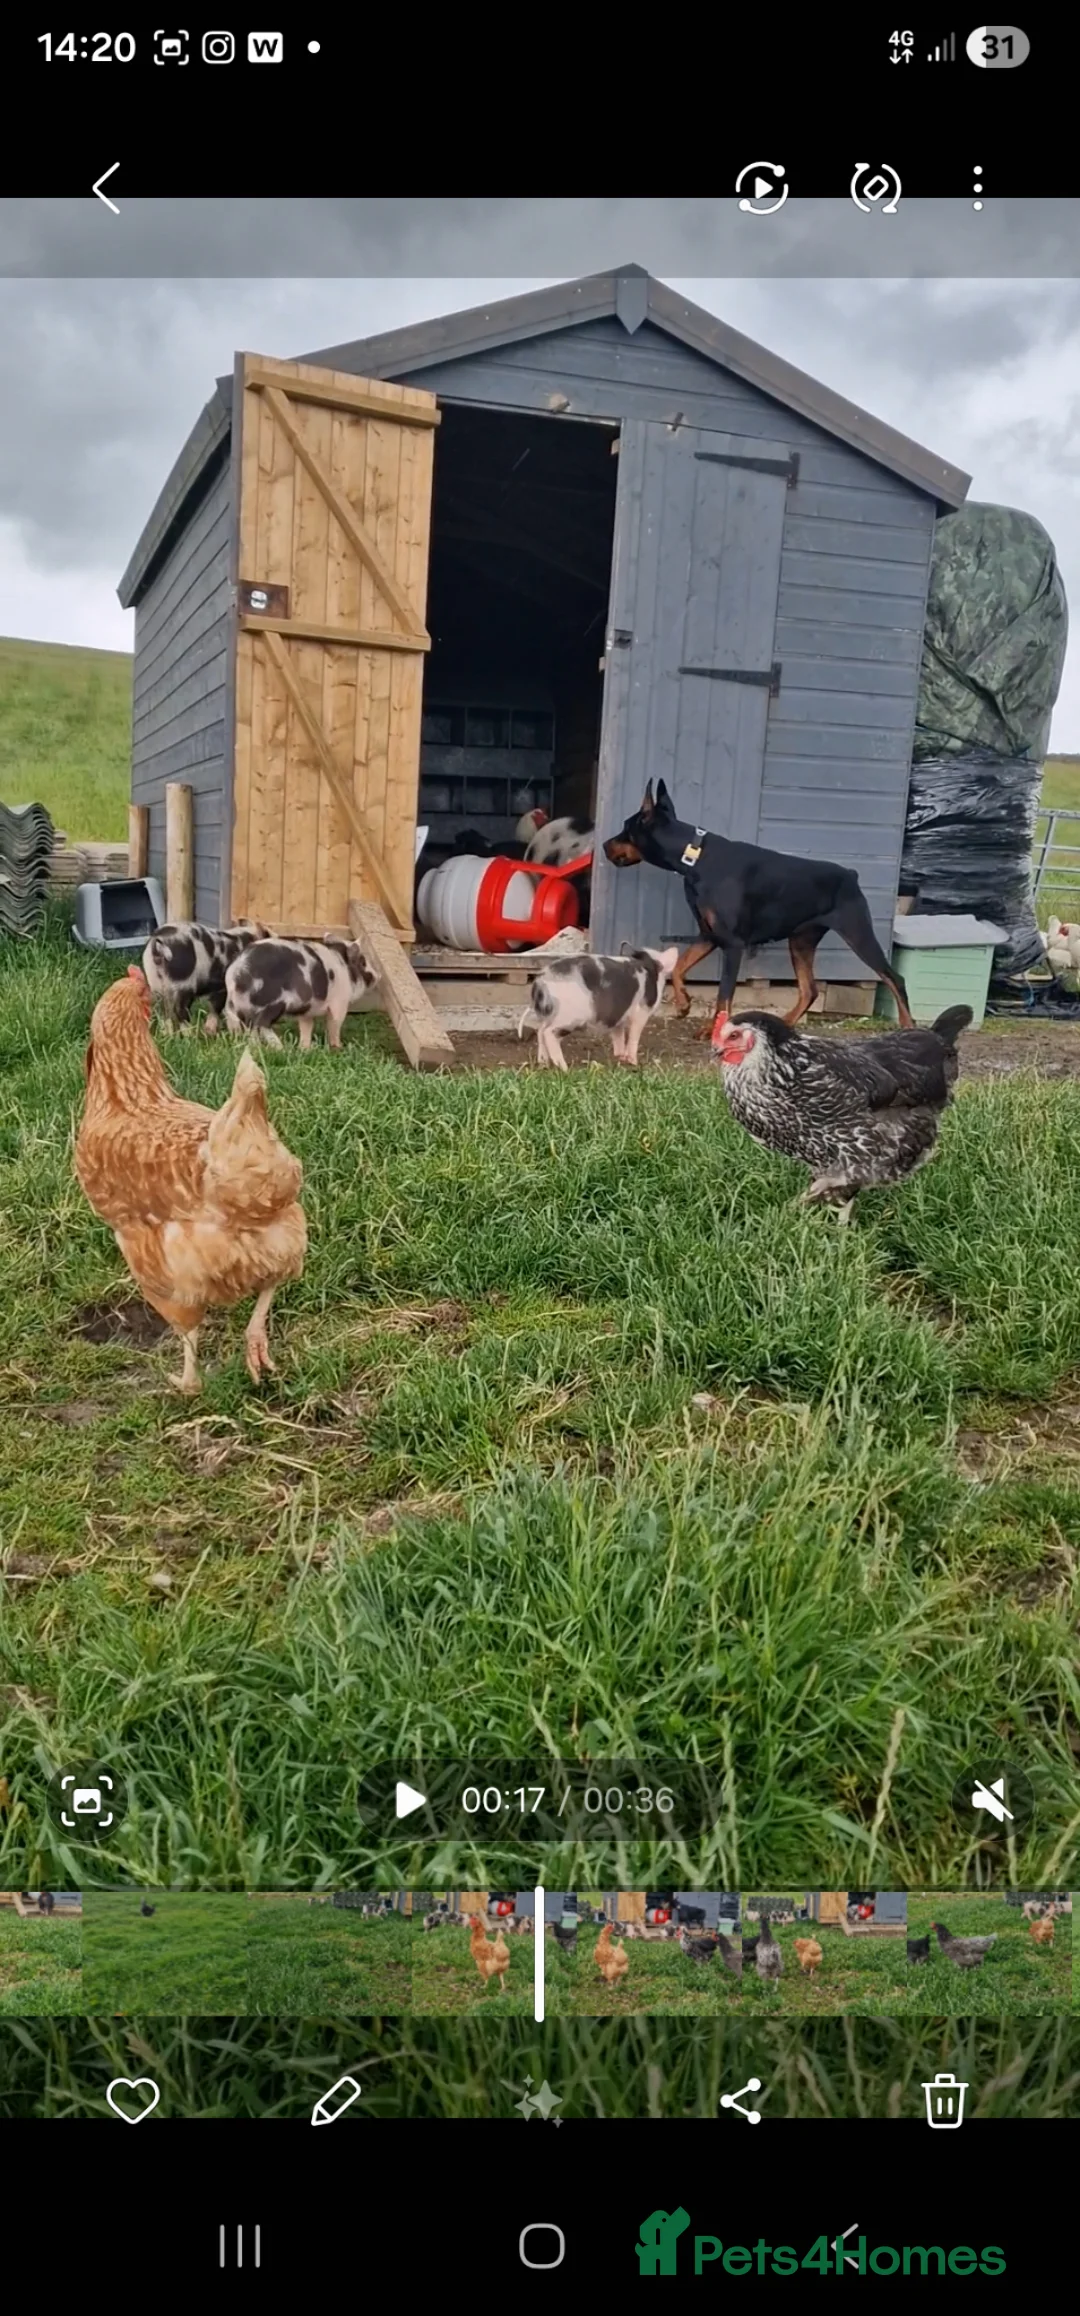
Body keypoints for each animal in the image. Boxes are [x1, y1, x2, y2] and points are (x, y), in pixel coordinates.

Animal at [142, 919, 270, 1034]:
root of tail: (157, 943)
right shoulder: (222, 987)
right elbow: (217, 1008)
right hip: (183, 983)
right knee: (179, 1011)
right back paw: (190, 1036)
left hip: (155, 983)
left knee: (164, 1012)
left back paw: (168, 1035)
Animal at [224, 934, 378, 1050]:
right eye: (363, 962)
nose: (378, 975)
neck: (345, 970)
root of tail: (238, 972)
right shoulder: (339, 1004)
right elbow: (334, 1024)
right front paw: (338, 1047)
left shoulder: (306, 1012)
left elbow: (306, 1027)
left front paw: (305, 1049)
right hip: (273, 1003)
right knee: (261, 1024)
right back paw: (280, 1048)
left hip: (238, 1008)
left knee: (249, 1027)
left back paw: (254, 1047)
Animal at [517, 945, 679, 1070]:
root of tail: (541, 980)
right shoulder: (641, 1012)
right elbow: (634, 1036)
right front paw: (633, 1062)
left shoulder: (618, 1016)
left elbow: (618, 1035)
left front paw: (619, 1057)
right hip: (570, 1016)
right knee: (548, 1032)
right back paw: (564, 1068)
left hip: (547, 1013)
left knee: (540, 1031)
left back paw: (544, 1063)